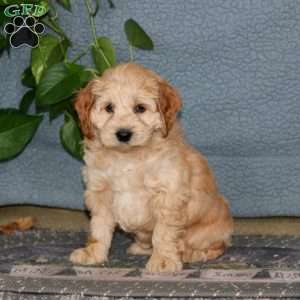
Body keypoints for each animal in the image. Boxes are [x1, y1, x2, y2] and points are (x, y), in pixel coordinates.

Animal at [70, 62, 234, 272]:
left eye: (140, 108)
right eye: (109, 108)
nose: (123, 134)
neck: (127, 157)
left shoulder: (169, 194)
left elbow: (163, 232)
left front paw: (163, 259)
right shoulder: (100, 192)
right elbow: (99, 227)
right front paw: (93, 253)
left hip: (207, 232)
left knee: (217, 246)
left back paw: (191, 253)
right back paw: (141, 248)